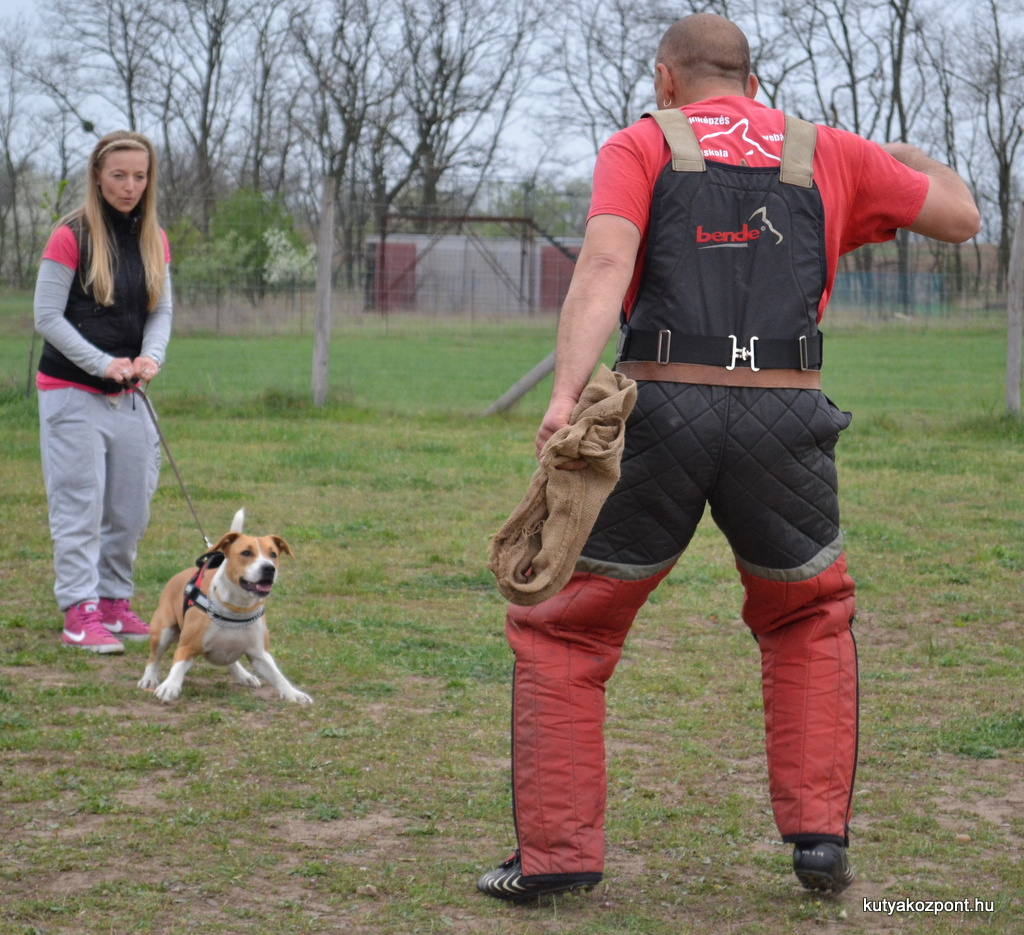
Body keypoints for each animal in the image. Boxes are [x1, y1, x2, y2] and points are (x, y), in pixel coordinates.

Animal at [138, 514, 311, 704]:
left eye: (273, 554)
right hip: (163, 630)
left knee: (230, 660)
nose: (268, 568)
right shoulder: (187, 647)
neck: (237, 608)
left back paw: (244, 675)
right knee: (154, 657)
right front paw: (169, 686)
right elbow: (177, 666)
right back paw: (149, 678)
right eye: (246, 553)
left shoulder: (259, 654)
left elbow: (278, 676)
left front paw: (294, 694)